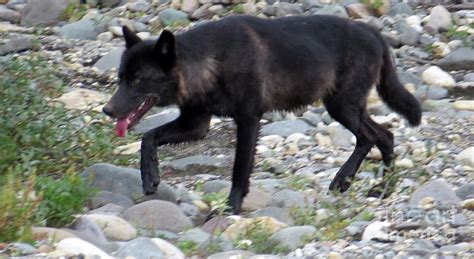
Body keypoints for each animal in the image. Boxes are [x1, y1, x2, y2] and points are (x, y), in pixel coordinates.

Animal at [102, 15, 420, 216]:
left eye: (138, 80)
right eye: (121, 78)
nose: (107, 110)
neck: (211, 61)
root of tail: (373, 33)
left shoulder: (248, 121)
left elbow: (240, 170)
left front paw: (231, 209)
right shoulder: (195, 124)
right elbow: (148, 137)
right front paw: (149, 178)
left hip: (342, 107)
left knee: (373, 135)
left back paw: (364, 183)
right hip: (344, 108)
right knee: (384, 135)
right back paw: (375, 186)